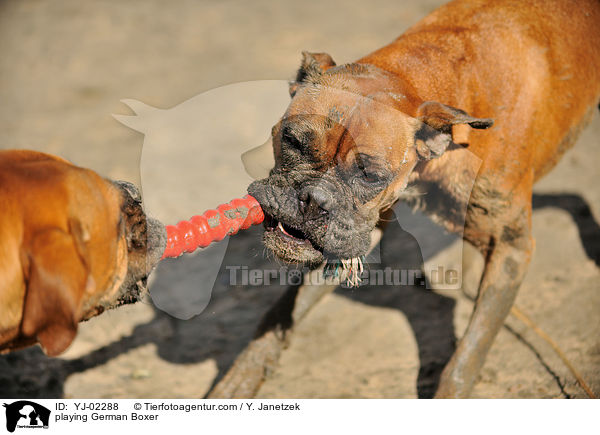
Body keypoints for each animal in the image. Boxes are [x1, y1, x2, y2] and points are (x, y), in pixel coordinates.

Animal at [245, 0, 600, 398]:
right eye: (292, 141)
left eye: (369, 175)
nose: (312, 199)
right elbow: (279, 316)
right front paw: (238, 381)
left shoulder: (511, 249)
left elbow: (464, 360)